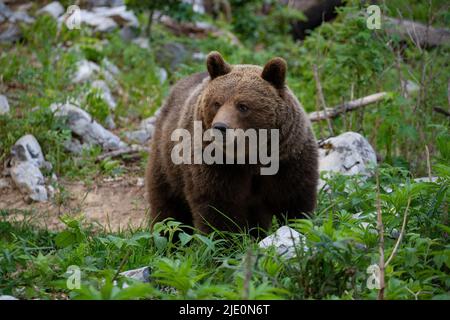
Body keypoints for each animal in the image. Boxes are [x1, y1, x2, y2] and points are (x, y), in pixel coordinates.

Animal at [146, 51, 318, 234]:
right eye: (217, 103)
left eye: (243, 106)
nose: (220, 127)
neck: (251, 158)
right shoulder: (216, 165)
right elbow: (219, 208)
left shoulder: (288, 159)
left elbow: (294, 201)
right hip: (167, 158)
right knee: (168, 206)